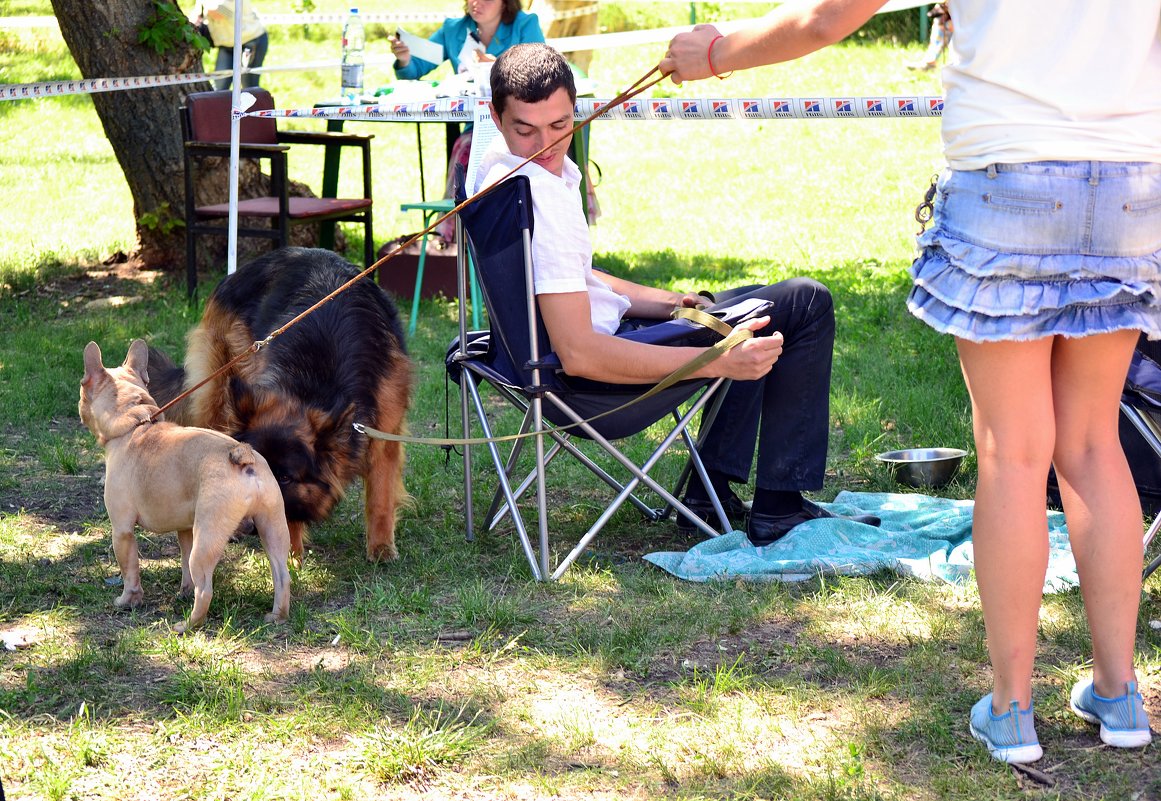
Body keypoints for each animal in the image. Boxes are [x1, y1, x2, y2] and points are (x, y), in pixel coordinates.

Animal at [152, 246, 410, 559]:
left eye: (285, 478)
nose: (249, 525)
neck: (312, 385)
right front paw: (289, 554)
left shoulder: (384, 429)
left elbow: (381, 493)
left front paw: (381, 547)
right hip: (219, 392)